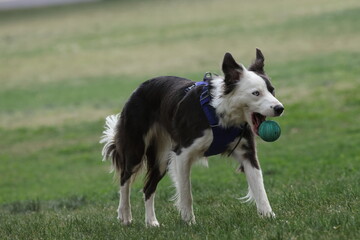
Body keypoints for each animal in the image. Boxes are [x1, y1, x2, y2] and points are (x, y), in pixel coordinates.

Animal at [100, 49, 282, 227]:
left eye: (272, 90)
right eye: (256, 93)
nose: (280, 108)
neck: (219, 112)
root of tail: (138, 89)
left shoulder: (247, 153)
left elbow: (259, 186)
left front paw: (269, 216)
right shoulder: (183, 153)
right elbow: (186, 192)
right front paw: (189, 221)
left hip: (161, 158)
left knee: (148, 188)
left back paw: (151, 221)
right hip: (136, 148)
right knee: (125, 179)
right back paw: (125, 215)